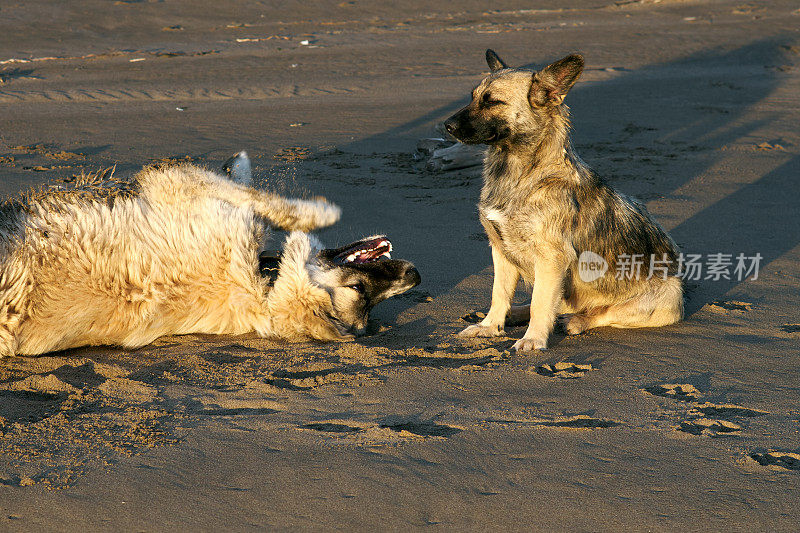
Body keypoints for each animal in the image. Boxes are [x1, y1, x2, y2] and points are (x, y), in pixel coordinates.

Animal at [0, 152, 422, 356]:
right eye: (360, 293)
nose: (415, 276)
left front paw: (317, 212)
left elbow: (257, 199)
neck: (264, 288)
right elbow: (252, 194)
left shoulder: (178, 185)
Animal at [444, 48, 680, 350]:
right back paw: (517, 313)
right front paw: (490, 326)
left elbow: (540, 304)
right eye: (472, 96)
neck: (523, 173)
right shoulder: (500, 251)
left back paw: (575, 321)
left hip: (667, 297)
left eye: (493, 101)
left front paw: (533, 338)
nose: (447, 126)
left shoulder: (551, 259)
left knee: (599, 312)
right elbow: (500, 295)